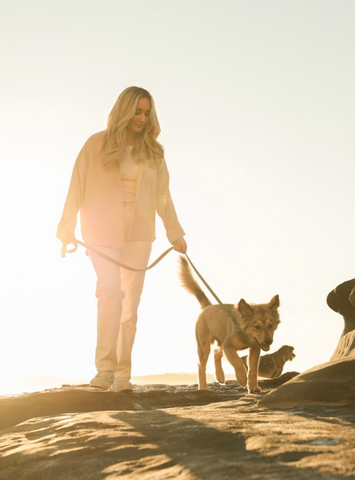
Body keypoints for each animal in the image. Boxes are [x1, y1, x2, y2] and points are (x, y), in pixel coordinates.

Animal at [179, 256, 282, 392]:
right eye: (257, 327)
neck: (244, 333)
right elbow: (237, 362)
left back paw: (220, 375)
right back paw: (204, 387)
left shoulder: (255, 348)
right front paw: (242, 379)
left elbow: (253, 369)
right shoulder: (228, 346)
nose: (268, 341)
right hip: (204, 345)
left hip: (220, 341)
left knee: (216, 352)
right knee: (201, 366)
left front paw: (253, 387)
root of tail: (208, 306)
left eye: (271, 325)